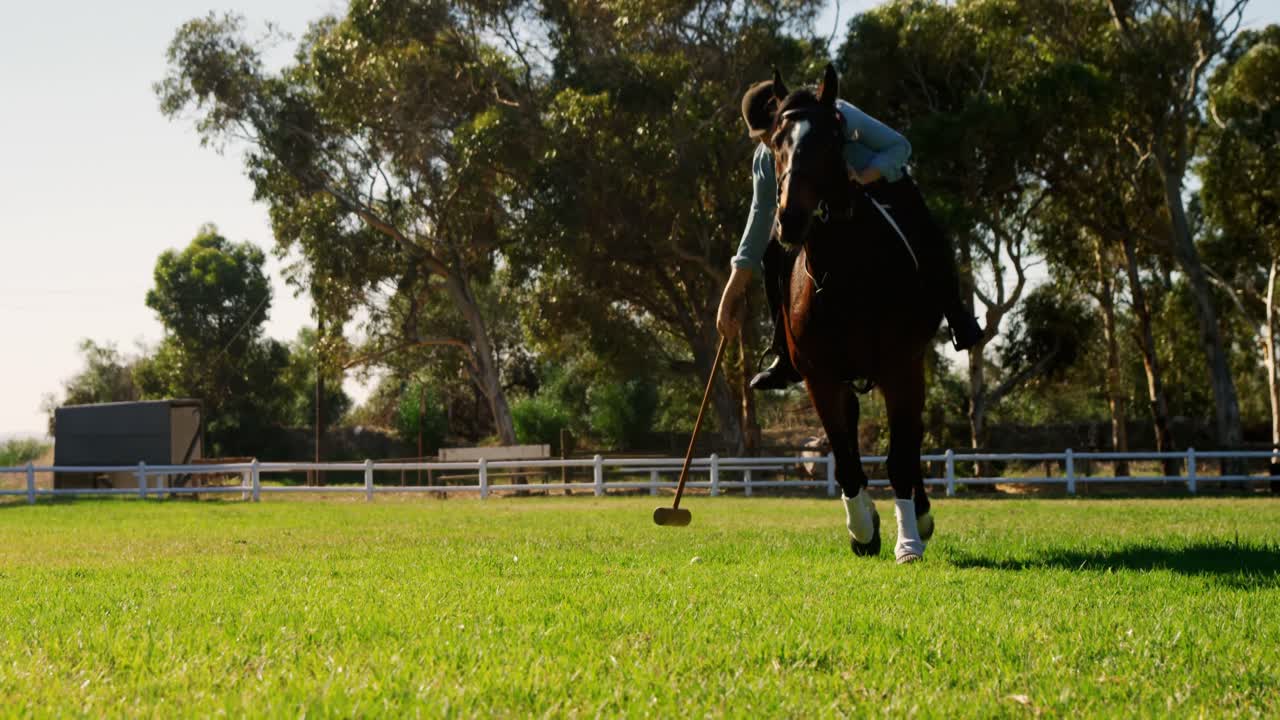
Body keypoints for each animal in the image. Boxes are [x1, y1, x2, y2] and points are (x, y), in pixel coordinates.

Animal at [769, 65, 941, 563]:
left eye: (832, 139)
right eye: (777, 140)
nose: (790, 219)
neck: (843, 272)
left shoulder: (899, 367)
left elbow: (900, 457)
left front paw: (908, 541)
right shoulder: (820, 377)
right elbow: (844, 459)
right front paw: (864, 530)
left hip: (907, 371)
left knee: (911, 441)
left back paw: (921, 516)